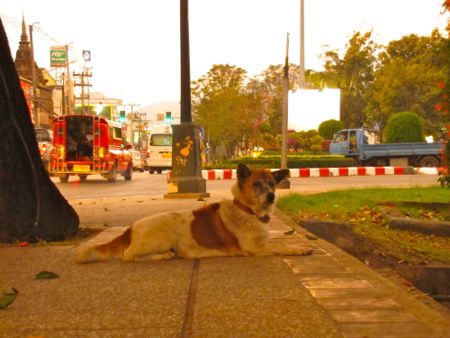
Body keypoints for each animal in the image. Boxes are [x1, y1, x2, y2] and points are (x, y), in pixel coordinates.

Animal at [75, 162, 312, 262]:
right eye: (257, 185)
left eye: (272, 184)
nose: (271, 196)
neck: (247, 210)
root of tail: (131, 228)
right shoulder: (255, 248)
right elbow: (282, 246)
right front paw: (300, 249)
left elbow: (282, 241)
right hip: (163, 237)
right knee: (129, 255)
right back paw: (164, 255)